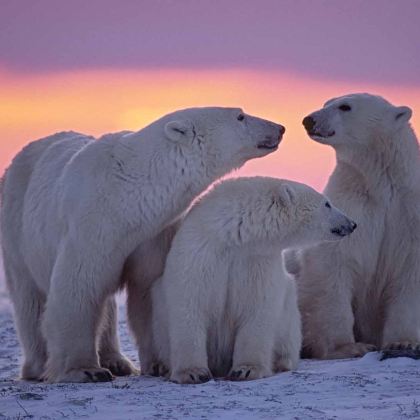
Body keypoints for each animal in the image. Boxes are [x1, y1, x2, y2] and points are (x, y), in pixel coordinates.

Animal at [0, 106, 286, 382]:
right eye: (240, 116)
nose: (280, 128)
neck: (127, 195)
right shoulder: (91, 224)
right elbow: (79, 287)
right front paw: (85, 370)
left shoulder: (153, 233)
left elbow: (148, 290)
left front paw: (160, 364)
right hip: (17, 228)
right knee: (29, 298)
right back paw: (39, 366)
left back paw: (117, 361)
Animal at [151, 177, 354, 384]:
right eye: (327, 203)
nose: (352, 224)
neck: (234, 236)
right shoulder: (201, 251)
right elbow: (190, 303)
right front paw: (192, 372)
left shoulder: (257, 260)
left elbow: (257, 308)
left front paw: (247, 370)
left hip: (289, 314)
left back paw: (282, 362)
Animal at [292, 93, 420, 360]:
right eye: (326, 102)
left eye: (345, 106)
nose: (309, 120)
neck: (380, 185)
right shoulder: (351, 207)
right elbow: (334, 264)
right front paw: (348, 346)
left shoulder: (408, 215)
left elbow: (409, 272)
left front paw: (402, 342)